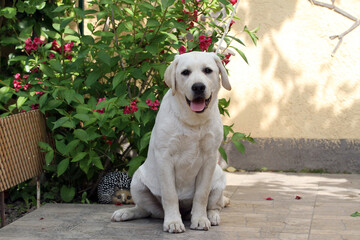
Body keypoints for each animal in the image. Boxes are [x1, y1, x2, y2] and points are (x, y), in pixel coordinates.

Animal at [111, 52, 232, 232]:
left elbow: (201, 194)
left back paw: (211, 215)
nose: (198, 87)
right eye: (185, 72)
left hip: (219, 179)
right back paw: (125, 212)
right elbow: (170, 195)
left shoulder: (209, 158)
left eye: (207, 70)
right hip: (137, 182)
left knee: (215, 205)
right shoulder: (165, 157)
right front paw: (173, 221)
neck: (193, 121)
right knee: (145, 210)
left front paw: (200, 219)